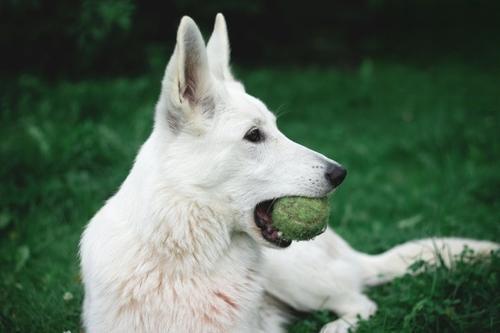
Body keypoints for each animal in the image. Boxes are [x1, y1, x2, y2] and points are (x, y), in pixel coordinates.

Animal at [80, 13, 498, 332]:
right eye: (254, 135)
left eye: (277, 127)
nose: (340, 173)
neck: (186, 259)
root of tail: (349, 252)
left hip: (295, 276)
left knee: (360, 302)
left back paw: (335, 327)